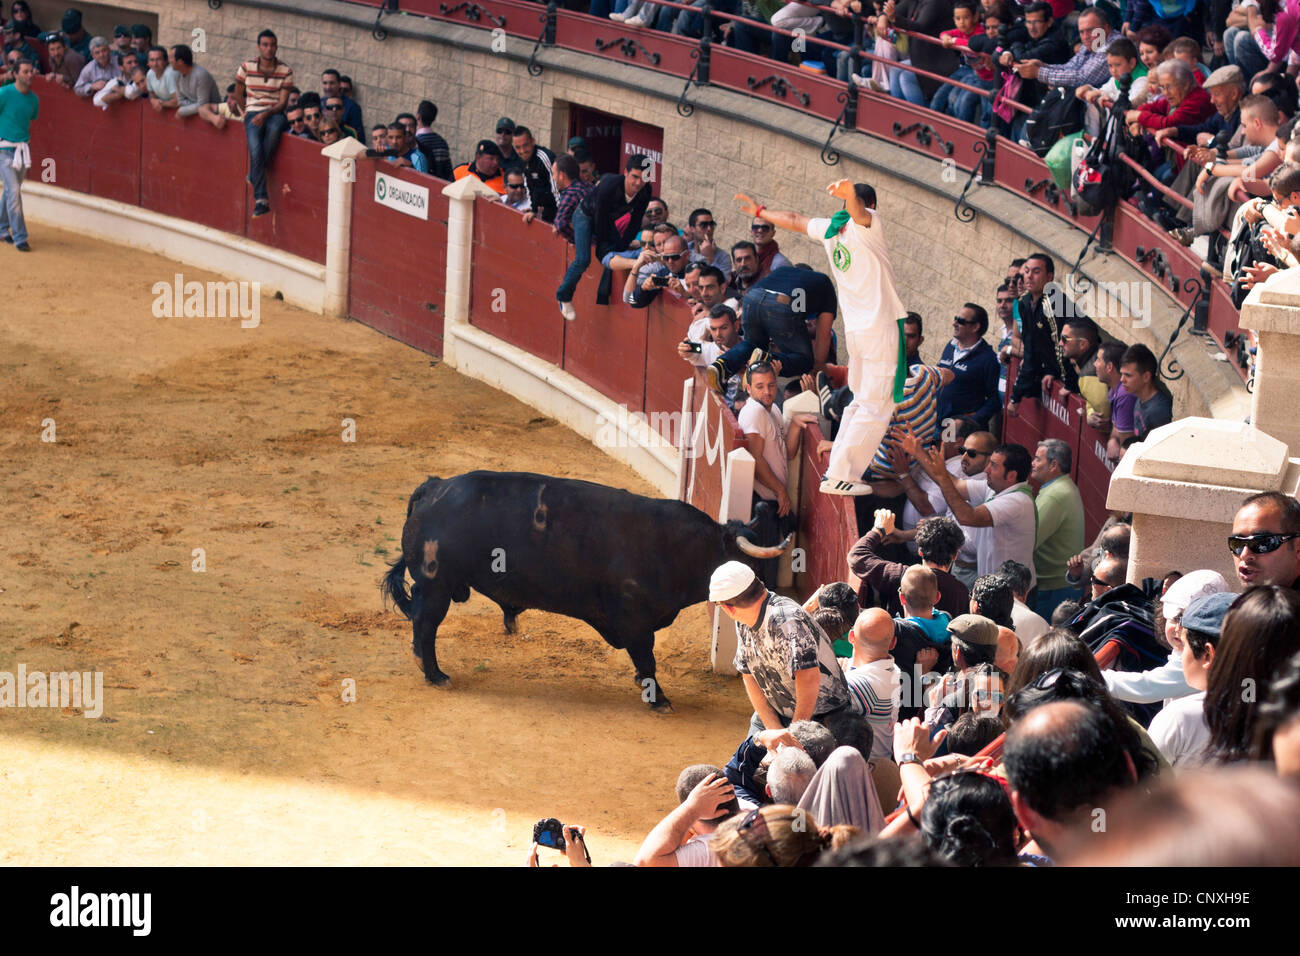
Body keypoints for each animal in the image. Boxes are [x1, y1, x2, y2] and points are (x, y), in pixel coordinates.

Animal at [379, 470, 790, 712]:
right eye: (751, 567)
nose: (769, 599)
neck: (676, 548)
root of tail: (434, 486)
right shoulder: (635, 620)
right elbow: (648, 660)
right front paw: (658, 699)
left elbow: (644, 662)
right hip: (435, 585)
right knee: (425, 626)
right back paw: (436, 674)